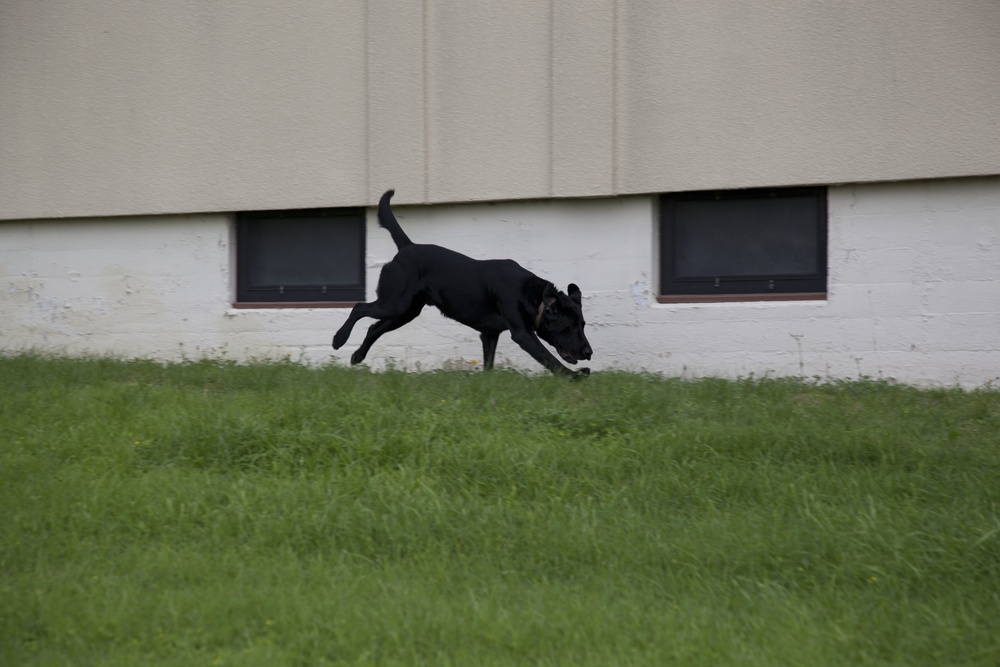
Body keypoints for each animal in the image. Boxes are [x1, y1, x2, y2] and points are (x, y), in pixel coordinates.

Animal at [332, 190, 588, 378]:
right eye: (570, 326)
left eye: (583, 325)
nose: (589, 352)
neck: (532, 296)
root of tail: (406, 247)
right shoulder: (523, 334)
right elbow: (549, 359)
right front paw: (574, 376)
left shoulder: (490, 334)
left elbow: (488, 364)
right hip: (394, 304)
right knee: (359, 308)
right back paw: (338, 339)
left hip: (405, 312)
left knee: (374, 328)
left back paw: (357, 356)